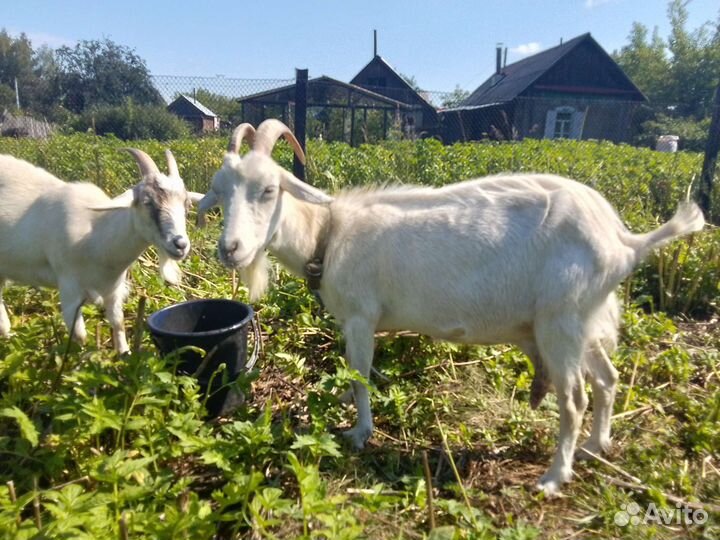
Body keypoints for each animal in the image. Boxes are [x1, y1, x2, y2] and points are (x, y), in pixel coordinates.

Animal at [0, 150, 202, 353]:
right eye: (147, 202)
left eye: (187, 204)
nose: (180, 244)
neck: (95, 236)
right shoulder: (68, 288)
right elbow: (79, 336)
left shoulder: (113, 289)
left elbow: (118, 323)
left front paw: (125, 353)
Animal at [197, 120, 705, 495]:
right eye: (219, 191)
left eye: (269, 190)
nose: (230, 249)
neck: (329, 234)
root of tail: (623, 240)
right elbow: (358, 373)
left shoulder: (361, 316)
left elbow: (360, 374)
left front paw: (359, 433)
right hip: (583, 319)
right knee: (608, 378)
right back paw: (596, 447)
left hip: (560, 322)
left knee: (574, 398)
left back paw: (554, 476)